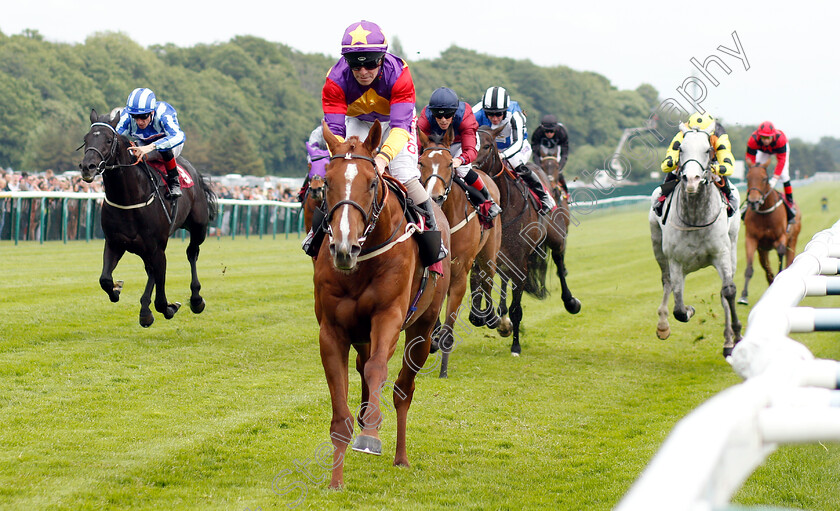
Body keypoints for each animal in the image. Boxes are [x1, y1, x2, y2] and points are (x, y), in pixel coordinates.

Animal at [314, 119, 450, 488]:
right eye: (327, 183)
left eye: (372, 182)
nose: (343, 247)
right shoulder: (332, 330)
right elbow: (341, 407)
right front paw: (335, 481)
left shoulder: (388, 316)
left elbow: (378, 369)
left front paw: (370, 436)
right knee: (363, 368)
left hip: (422, 327)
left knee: (403, 389)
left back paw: (400, 457)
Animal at [416, 126, 502, 378]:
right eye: (421, 163)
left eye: (448, 164)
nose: (434, 196)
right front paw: (433, 340)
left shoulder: (459, 273)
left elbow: (449, 324)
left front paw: (443, 368)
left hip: (489, 252)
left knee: (487, 279)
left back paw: (494, 319)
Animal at [470, 127, 580, 356]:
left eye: (487, 145)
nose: (470, 169)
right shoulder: (484, 258)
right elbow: (478, 301)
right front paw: (492, 318)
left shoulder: (520, 263)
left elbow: (516, 309)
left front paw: (516, 346)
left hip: (555, 237)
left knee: (559, 263)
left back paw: (570, 301)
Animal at [648, 125, 740, 356]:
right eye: (680, 148)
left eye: (708, 150)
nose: (691, 179)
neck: (696, 217)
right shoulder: (676, 261)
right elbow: (679, 308)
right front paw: (689, 310)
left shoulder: (722, 254)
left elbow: (728, 291)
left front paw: (736, 338)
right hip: (657, 245)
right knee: (667, 282)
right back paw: (663, 326)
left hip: (733, 244)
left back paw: (728, 341)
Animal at [740, 166, 804, 306]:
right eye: (747, 178)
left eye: (764, 179)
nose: (753, 202)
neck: (765, 213)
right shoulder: (752, 240)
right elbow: (750, 267)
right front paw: (743, 296)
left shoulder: (781, 238)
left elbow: (780, 253)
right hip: (763, 251)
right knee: (766, 267)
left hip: (793, 240)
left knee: (788, 260)